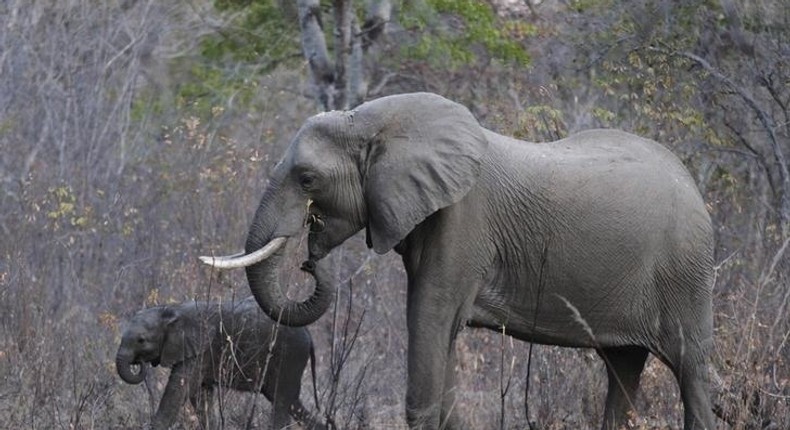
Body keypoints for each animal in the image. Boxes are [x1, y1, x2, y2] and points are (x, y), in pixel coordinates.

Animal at [115, 298, 324, 430]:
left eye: (141, 340)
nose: (139, 362)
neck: (171, 310)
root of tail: (309, 334)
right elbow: (200, 395)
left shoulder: (201, 347)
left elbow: (179, 390)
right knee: (291, 402)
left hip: (290, 356)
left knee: (281, 401)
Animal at [203, 92, 716, 428]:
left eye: (307, 179)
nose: (309, 258)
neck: (372, 120)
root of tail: (694, 185)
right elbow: (440, 332)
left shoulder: (463, 221)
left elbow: (430, 317)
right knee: (622, 367)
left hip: (684, 272)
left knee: (690, 371)